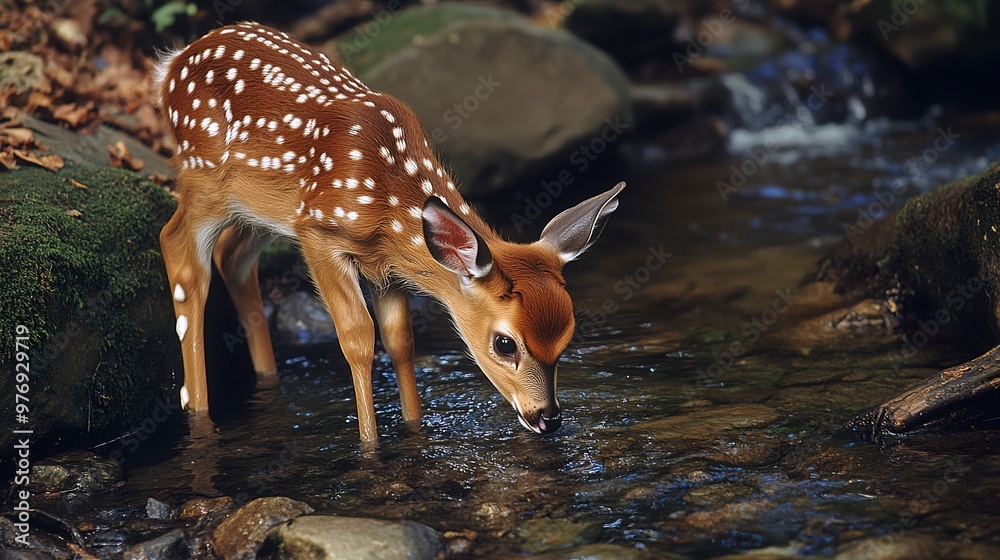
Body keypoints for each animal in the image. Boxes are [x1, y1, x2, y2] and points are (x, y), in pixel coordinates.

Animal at [154, 21, 624, 442]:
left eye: (568, 338)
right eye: (505, 344)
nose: (549, 418)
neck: (387, 199)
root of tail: (173, 62)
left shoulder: (386, 265)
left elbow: (400, 343)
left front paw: (414, 430)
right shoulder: (318, 232)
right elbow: (358, 340)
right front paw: (370, 444)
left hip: (258, 208)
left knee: (232, 258)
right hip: (204, 179)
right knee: (177, 248)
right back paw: (196, 409)